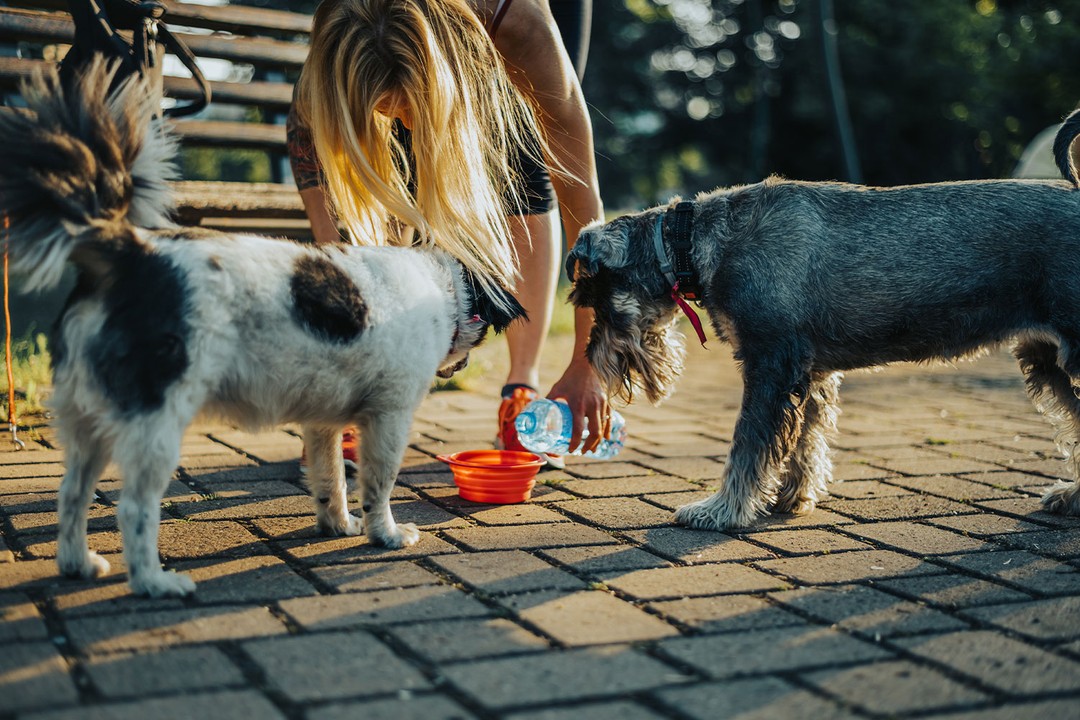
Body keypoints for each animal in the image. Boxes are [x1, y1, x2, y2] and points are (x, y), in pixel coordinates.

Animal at [570, 118, 1080, 533]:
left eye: (594, 301)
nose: (593, 357)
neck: (691, 245)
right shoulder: (808, 371)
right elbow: (805, 439)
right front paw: (790, 497)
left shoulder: (770, 362)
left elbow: (748, 445)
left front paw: (720, 511)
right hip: (1046, 358)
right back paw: (1072, 495)